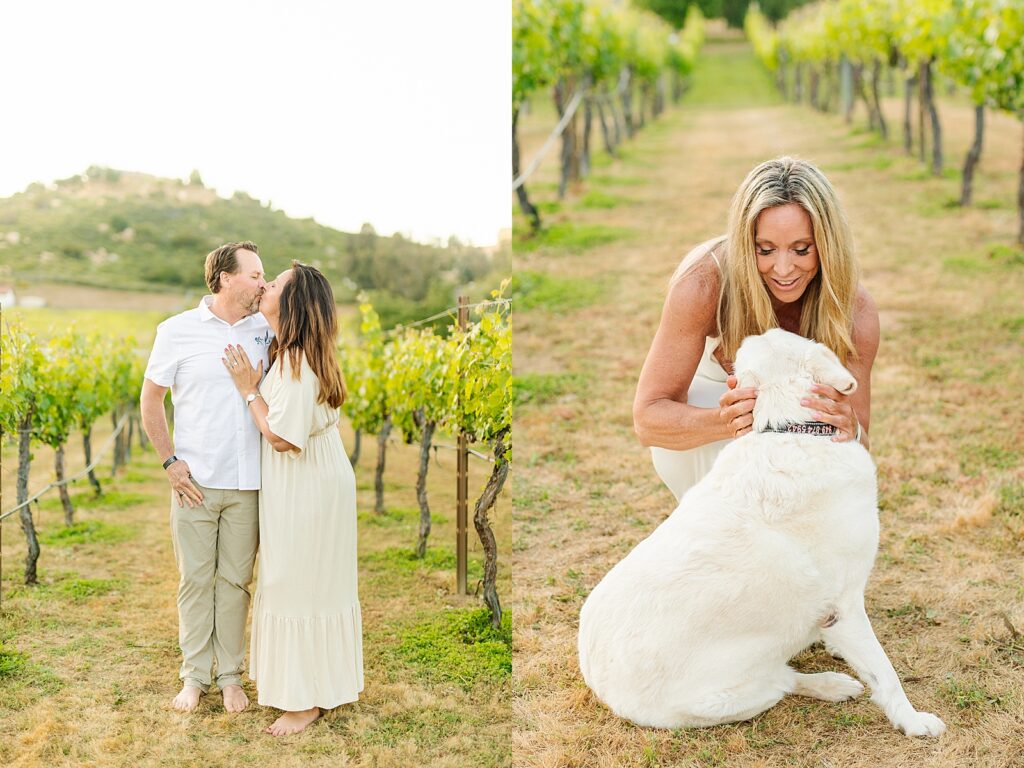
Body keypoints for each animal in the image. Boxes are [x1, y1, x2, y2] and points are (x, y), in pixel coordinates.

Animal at [581, 329, 946, 741]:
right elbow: (885, 673)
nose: (756, 330)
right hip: (739, 694)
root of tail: (604, 692)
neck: (793, 429)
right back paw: (830, 683)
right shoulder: (844, 604)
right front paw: (914, 721)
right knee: (782, 680)